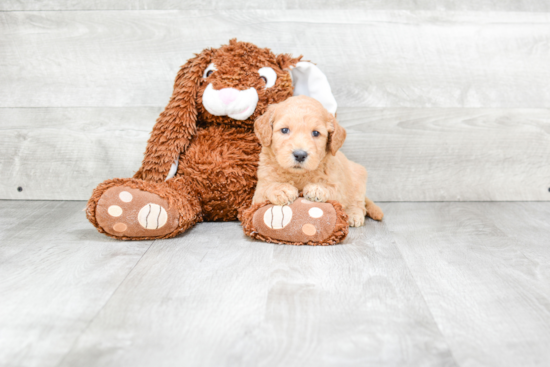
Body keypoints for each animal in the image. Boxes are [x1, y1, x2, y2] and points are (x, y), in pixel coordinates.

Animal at [253, 95, 384, 227]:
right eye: (284, 130)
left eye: (316, 133)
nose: (300, 155)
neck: (298, 175)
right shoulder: (259, 192)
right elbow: (266, 189)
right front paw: (281, 189)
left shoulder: (337, 185)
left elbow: (333, 189)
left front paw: (317, 189)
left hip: (358, 177)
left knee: (358, 202)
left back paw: (354, 214)